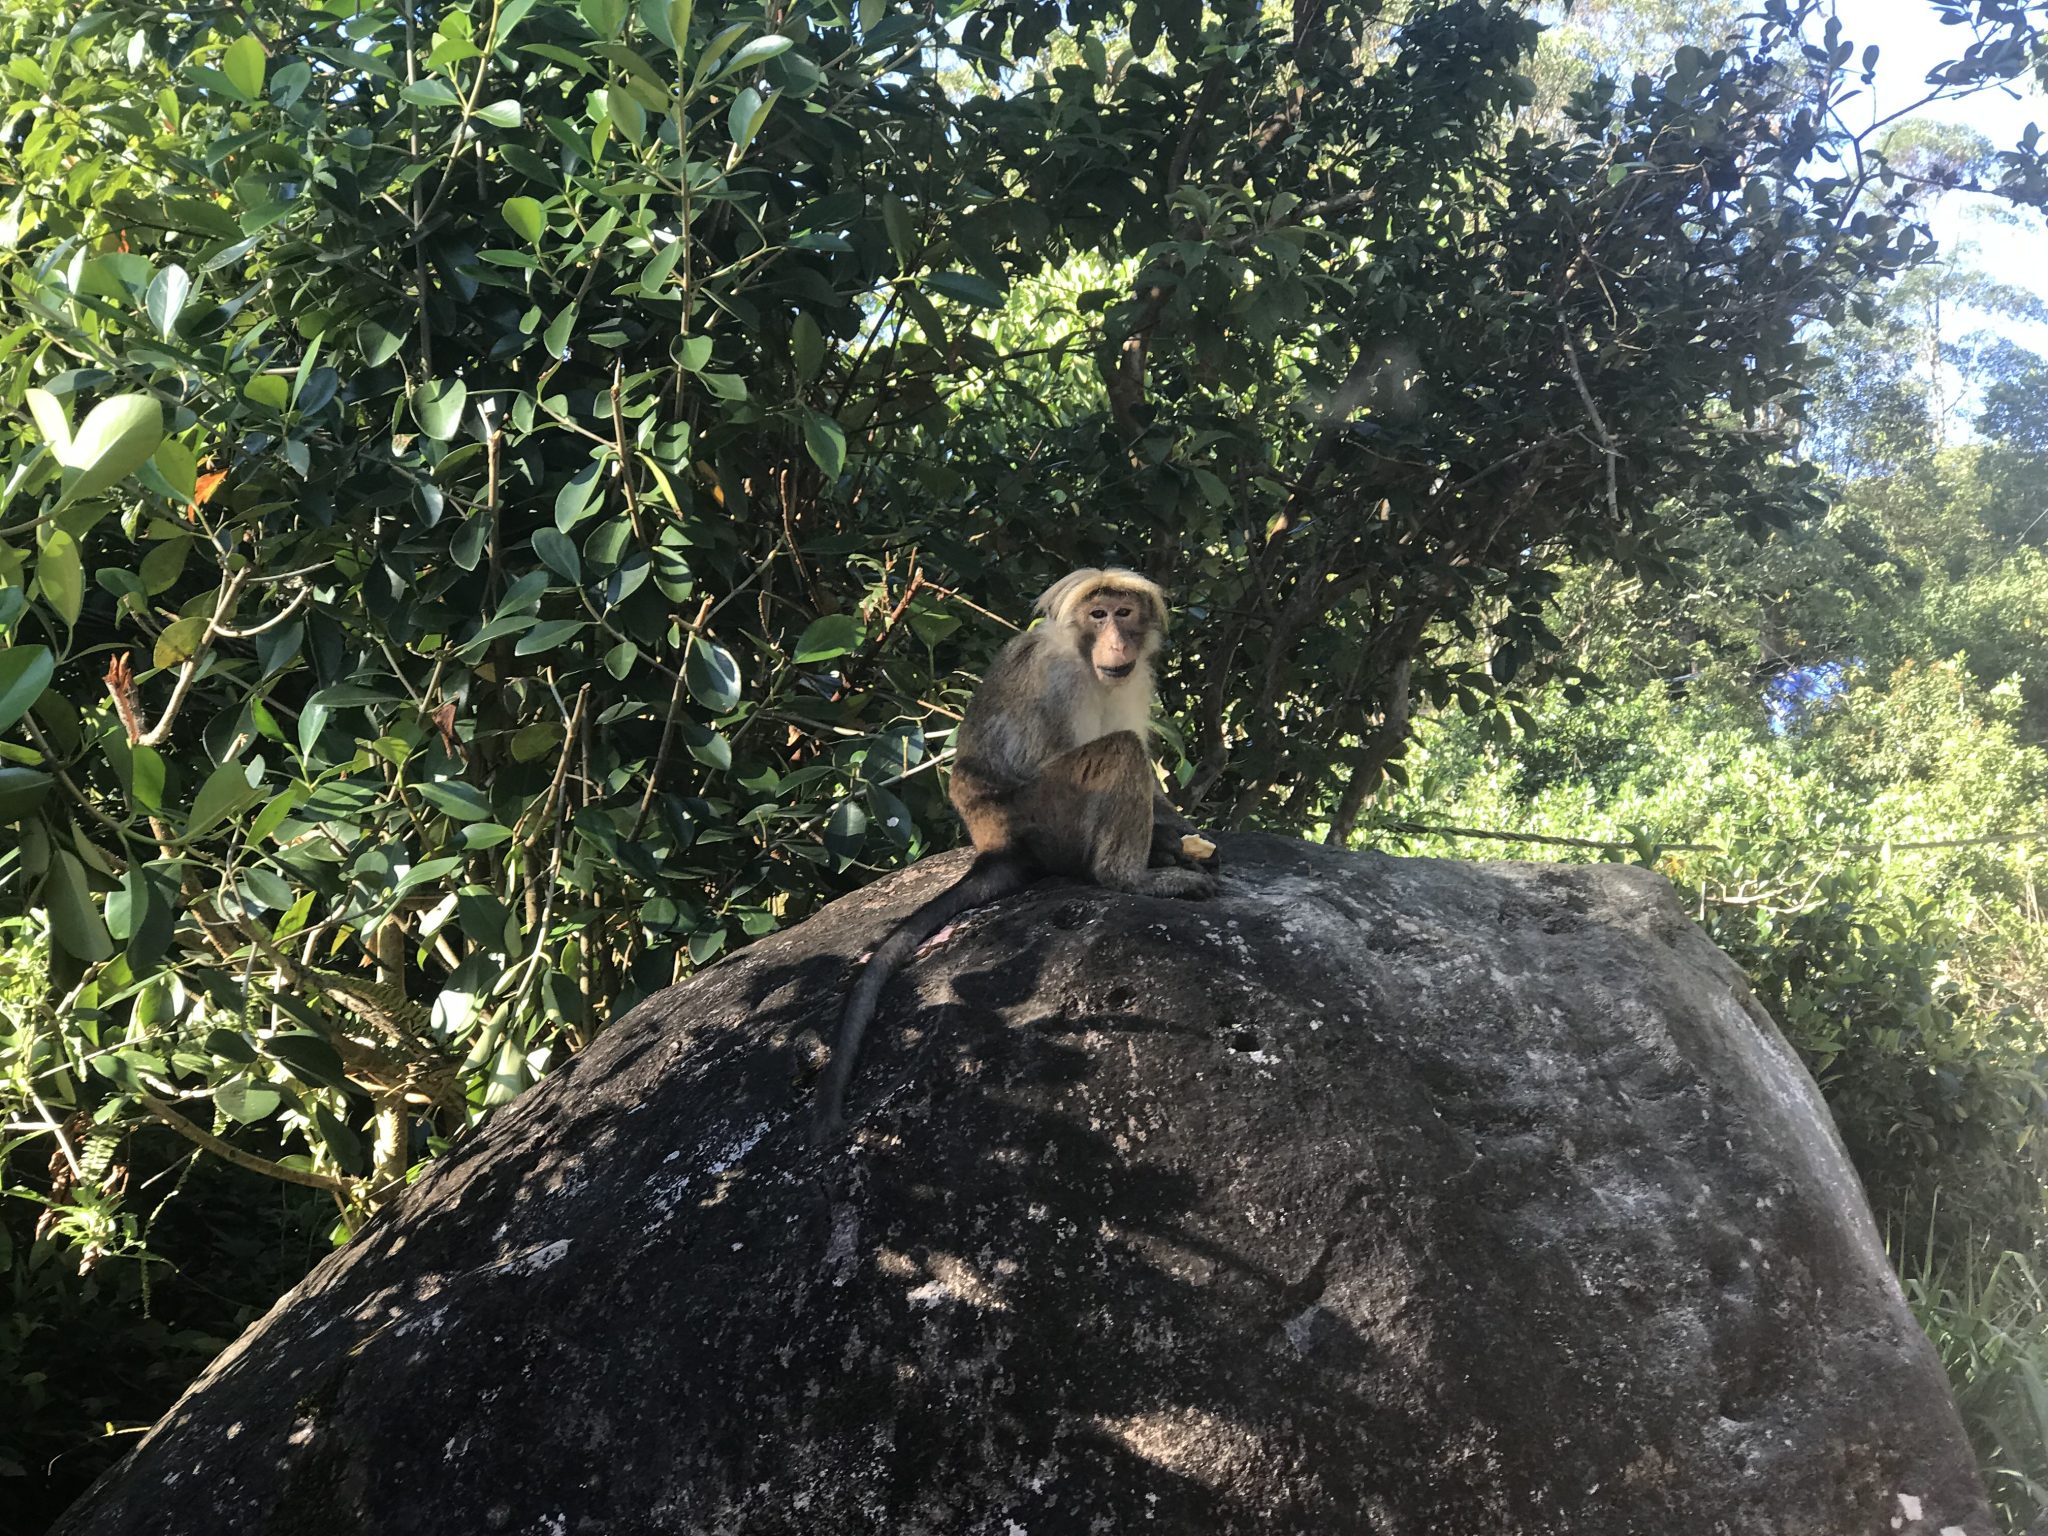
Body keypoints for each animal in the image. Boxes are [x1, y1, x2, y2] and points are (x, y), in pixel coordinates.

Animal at [815, 573, 1220, 1146]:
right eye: (1098, 615)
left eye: (1124, 613)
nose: (1117, 640)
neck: (1085, 658)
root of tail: (996, 843)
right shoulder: (1058, 679)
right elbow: (1051, 754)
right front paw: (1163, 852)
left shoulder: (1135, 678)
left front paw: (1181, 836)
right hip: (1045, 820)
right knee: (1117, 751)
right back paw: (1130, 877)